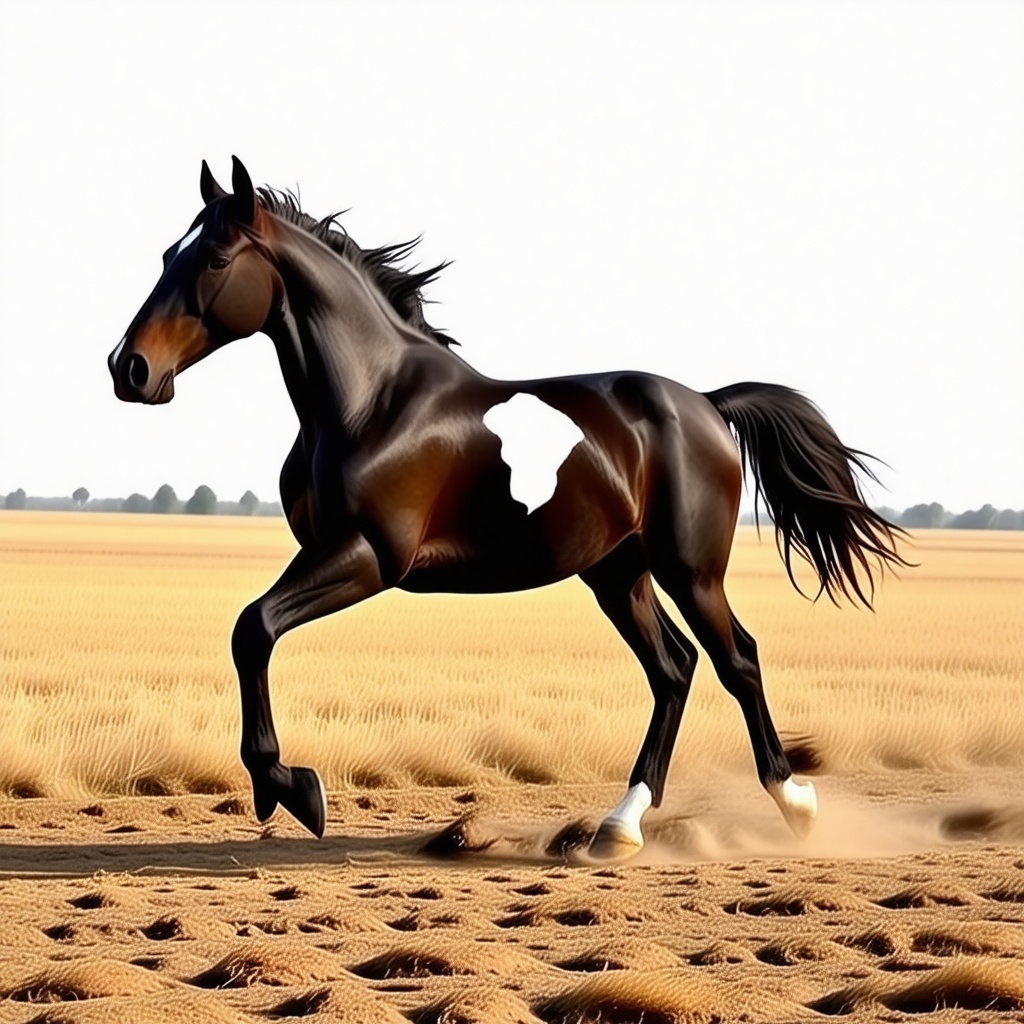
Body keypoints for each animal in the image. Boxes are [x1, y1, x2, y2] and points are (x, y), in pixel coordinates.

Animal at [109, 157, 909, 860]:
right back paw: (619, 828)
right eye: (167, 254)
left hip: (689, 570)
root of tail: (707, 405)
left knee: (735, 660)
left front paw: (295, 790)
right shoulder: (331, 551)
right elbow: (252, 633)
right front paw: (283, 787)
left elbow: (255, 628)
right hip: (616, 572)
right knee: (674, 669)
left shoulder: (369, 556)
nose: (129, 369)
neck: (372, 401)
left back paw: (796, 805)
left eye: (215, 258)